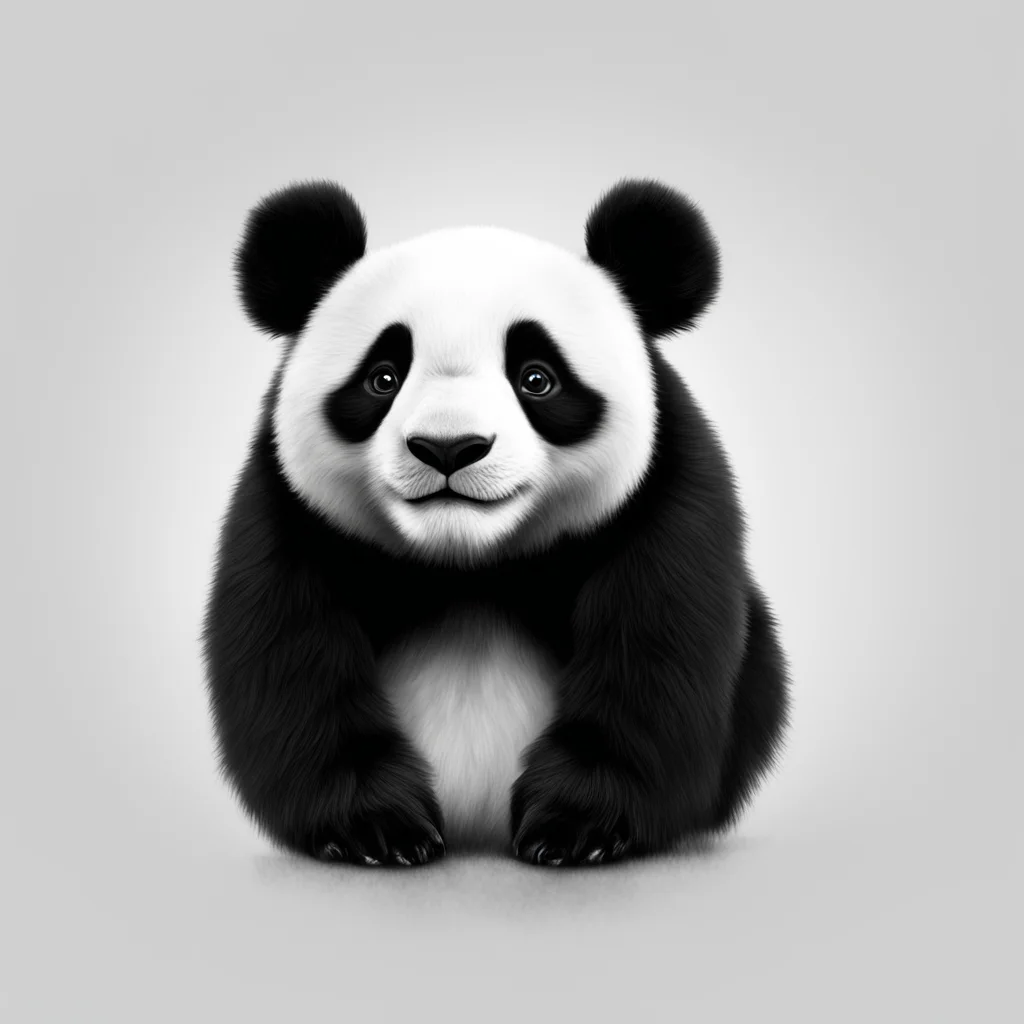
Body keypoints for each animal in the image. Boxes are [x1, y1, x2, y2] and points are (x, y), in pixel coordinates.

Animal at [202, 178, 790, 868]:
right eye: (383, 377)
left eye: (537, 378)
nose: (449, 448)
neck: (470, 566)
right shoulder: (288, 509)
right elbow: (289, 654)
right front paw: (376, 827)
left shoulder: (667, 496)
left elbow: (655, 652)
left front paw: (574, 826)